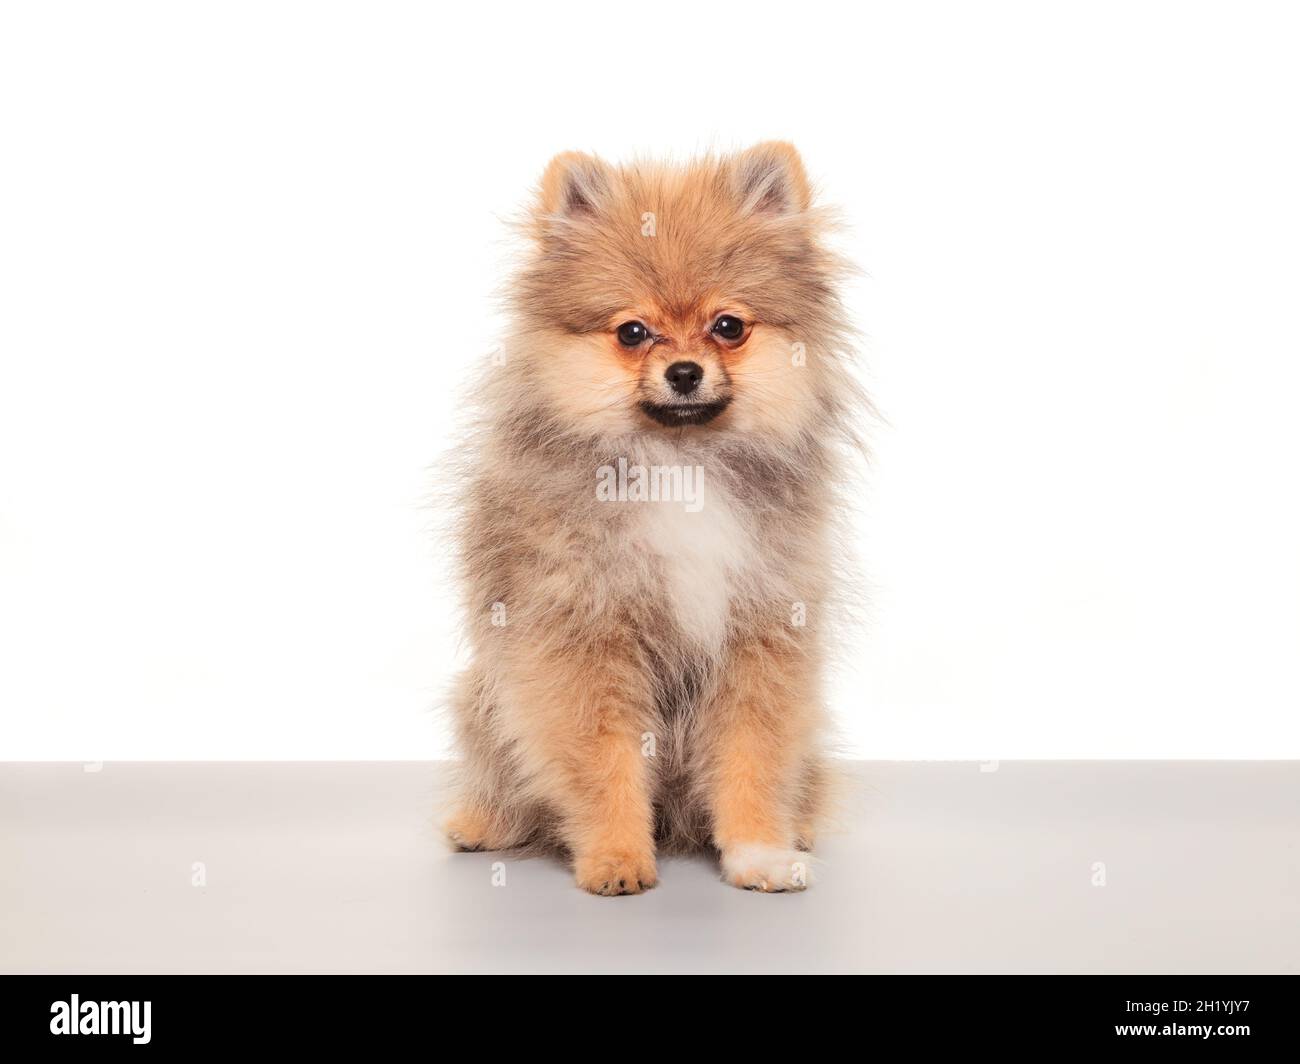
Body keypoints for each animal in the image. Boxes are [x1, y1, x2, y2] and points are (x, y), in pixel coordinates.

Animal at [447, 139, 863, 889]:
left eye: (728, 327)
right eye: (633, 332)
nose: (685, 372)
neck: (681, 464)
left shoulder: (759, 634)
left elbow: (752, 759)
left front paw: (759, 851)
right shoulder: (580, 638)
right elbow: (601, 758)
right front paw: (615, 856)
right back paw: (481, 823)